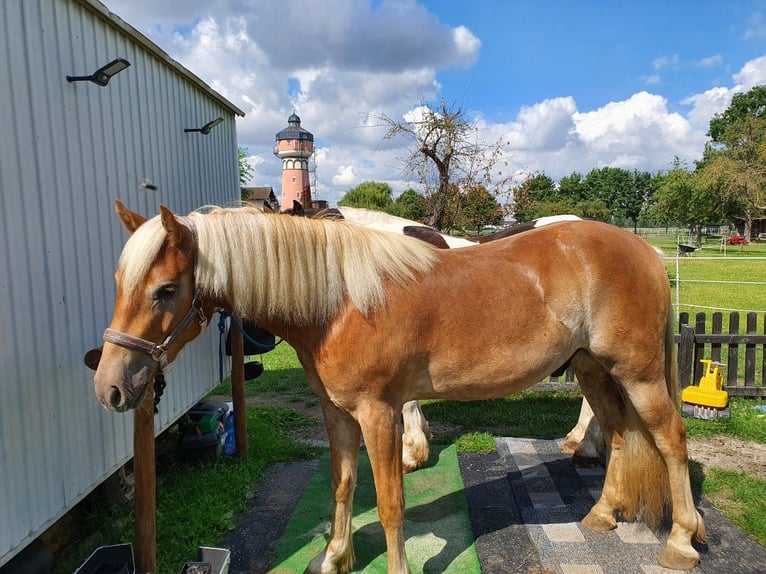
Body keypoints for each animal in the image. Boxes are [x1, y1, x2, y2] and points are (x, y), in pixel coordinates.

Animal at [94, 200, 708, 572]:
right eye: (120, 280)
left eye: (166, 289)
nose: (110, 387)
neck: (339, 300)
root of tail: (643, 248)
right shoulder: (336, 413)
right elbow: (343, 485)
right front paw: (334, 556)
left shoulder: (378, 413)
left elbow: (390, 502)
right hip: (592, 368)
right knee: (619, 433)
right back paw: (603, 512)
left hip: (638, 374)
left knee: (672, 441)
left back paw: (681, 541)